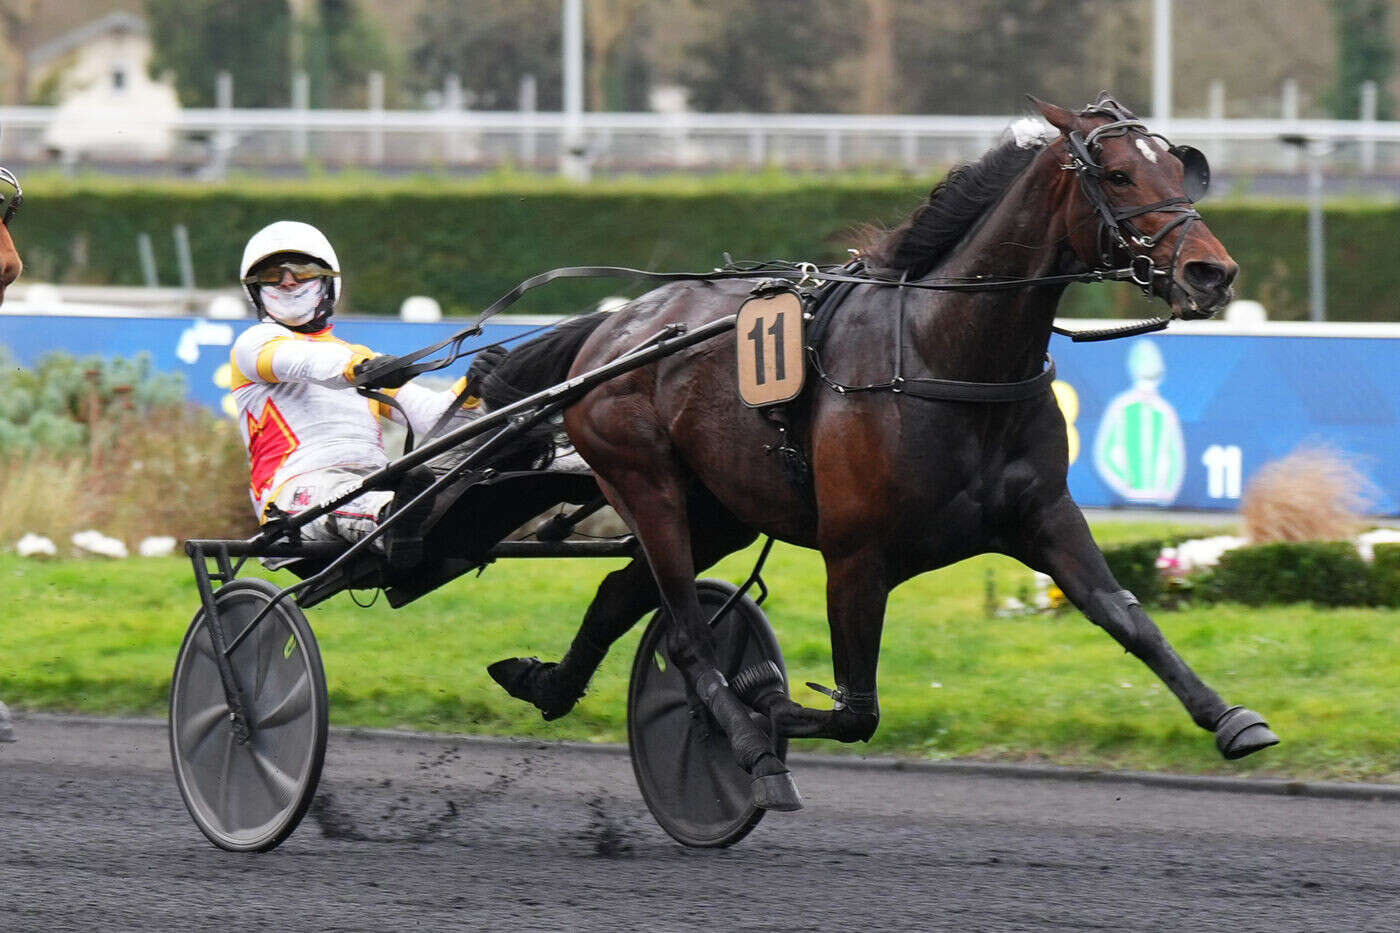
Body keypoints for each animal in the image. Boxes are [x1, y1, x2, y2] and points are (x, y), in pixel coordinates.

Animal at [487, 94, 1276, 801]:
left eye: (1179, 170)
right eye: (1116, 175)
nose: (1212, 272)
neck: (944, 353)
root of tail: (609, 331)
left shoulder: (1045, 515)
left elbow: (1127, 616)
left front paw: (1231, 718)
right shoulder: (856, 553)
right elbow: (855, 710)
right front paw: (763, 700)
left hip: (717, 511)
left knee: (621, 595)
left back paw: (547, 683)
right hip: (645, 484)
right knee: (686, 634)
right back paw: (746, 747)